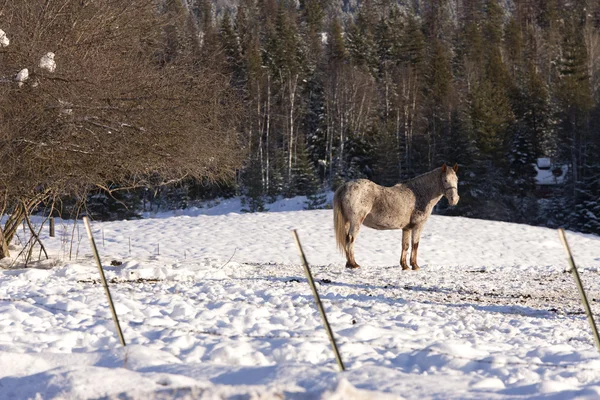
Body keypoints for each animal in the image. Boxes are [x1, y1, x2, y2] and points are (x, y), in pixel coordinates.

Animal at [332, 164, 460, 270]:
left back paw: (349, 264)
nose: (454, 200)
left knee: (346, 239)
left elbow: (405, 245)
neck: (418, 193)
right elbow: (415, 245)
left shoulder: (407, 228)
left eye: (456, 180)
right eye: (445, 180)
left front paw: (405, 266)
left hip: (347, 222)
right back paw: (353, 264)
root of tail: (345, 186)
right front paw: (415, 266)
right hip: (356, 222)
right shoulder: (417, 226)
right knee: (350, 239)